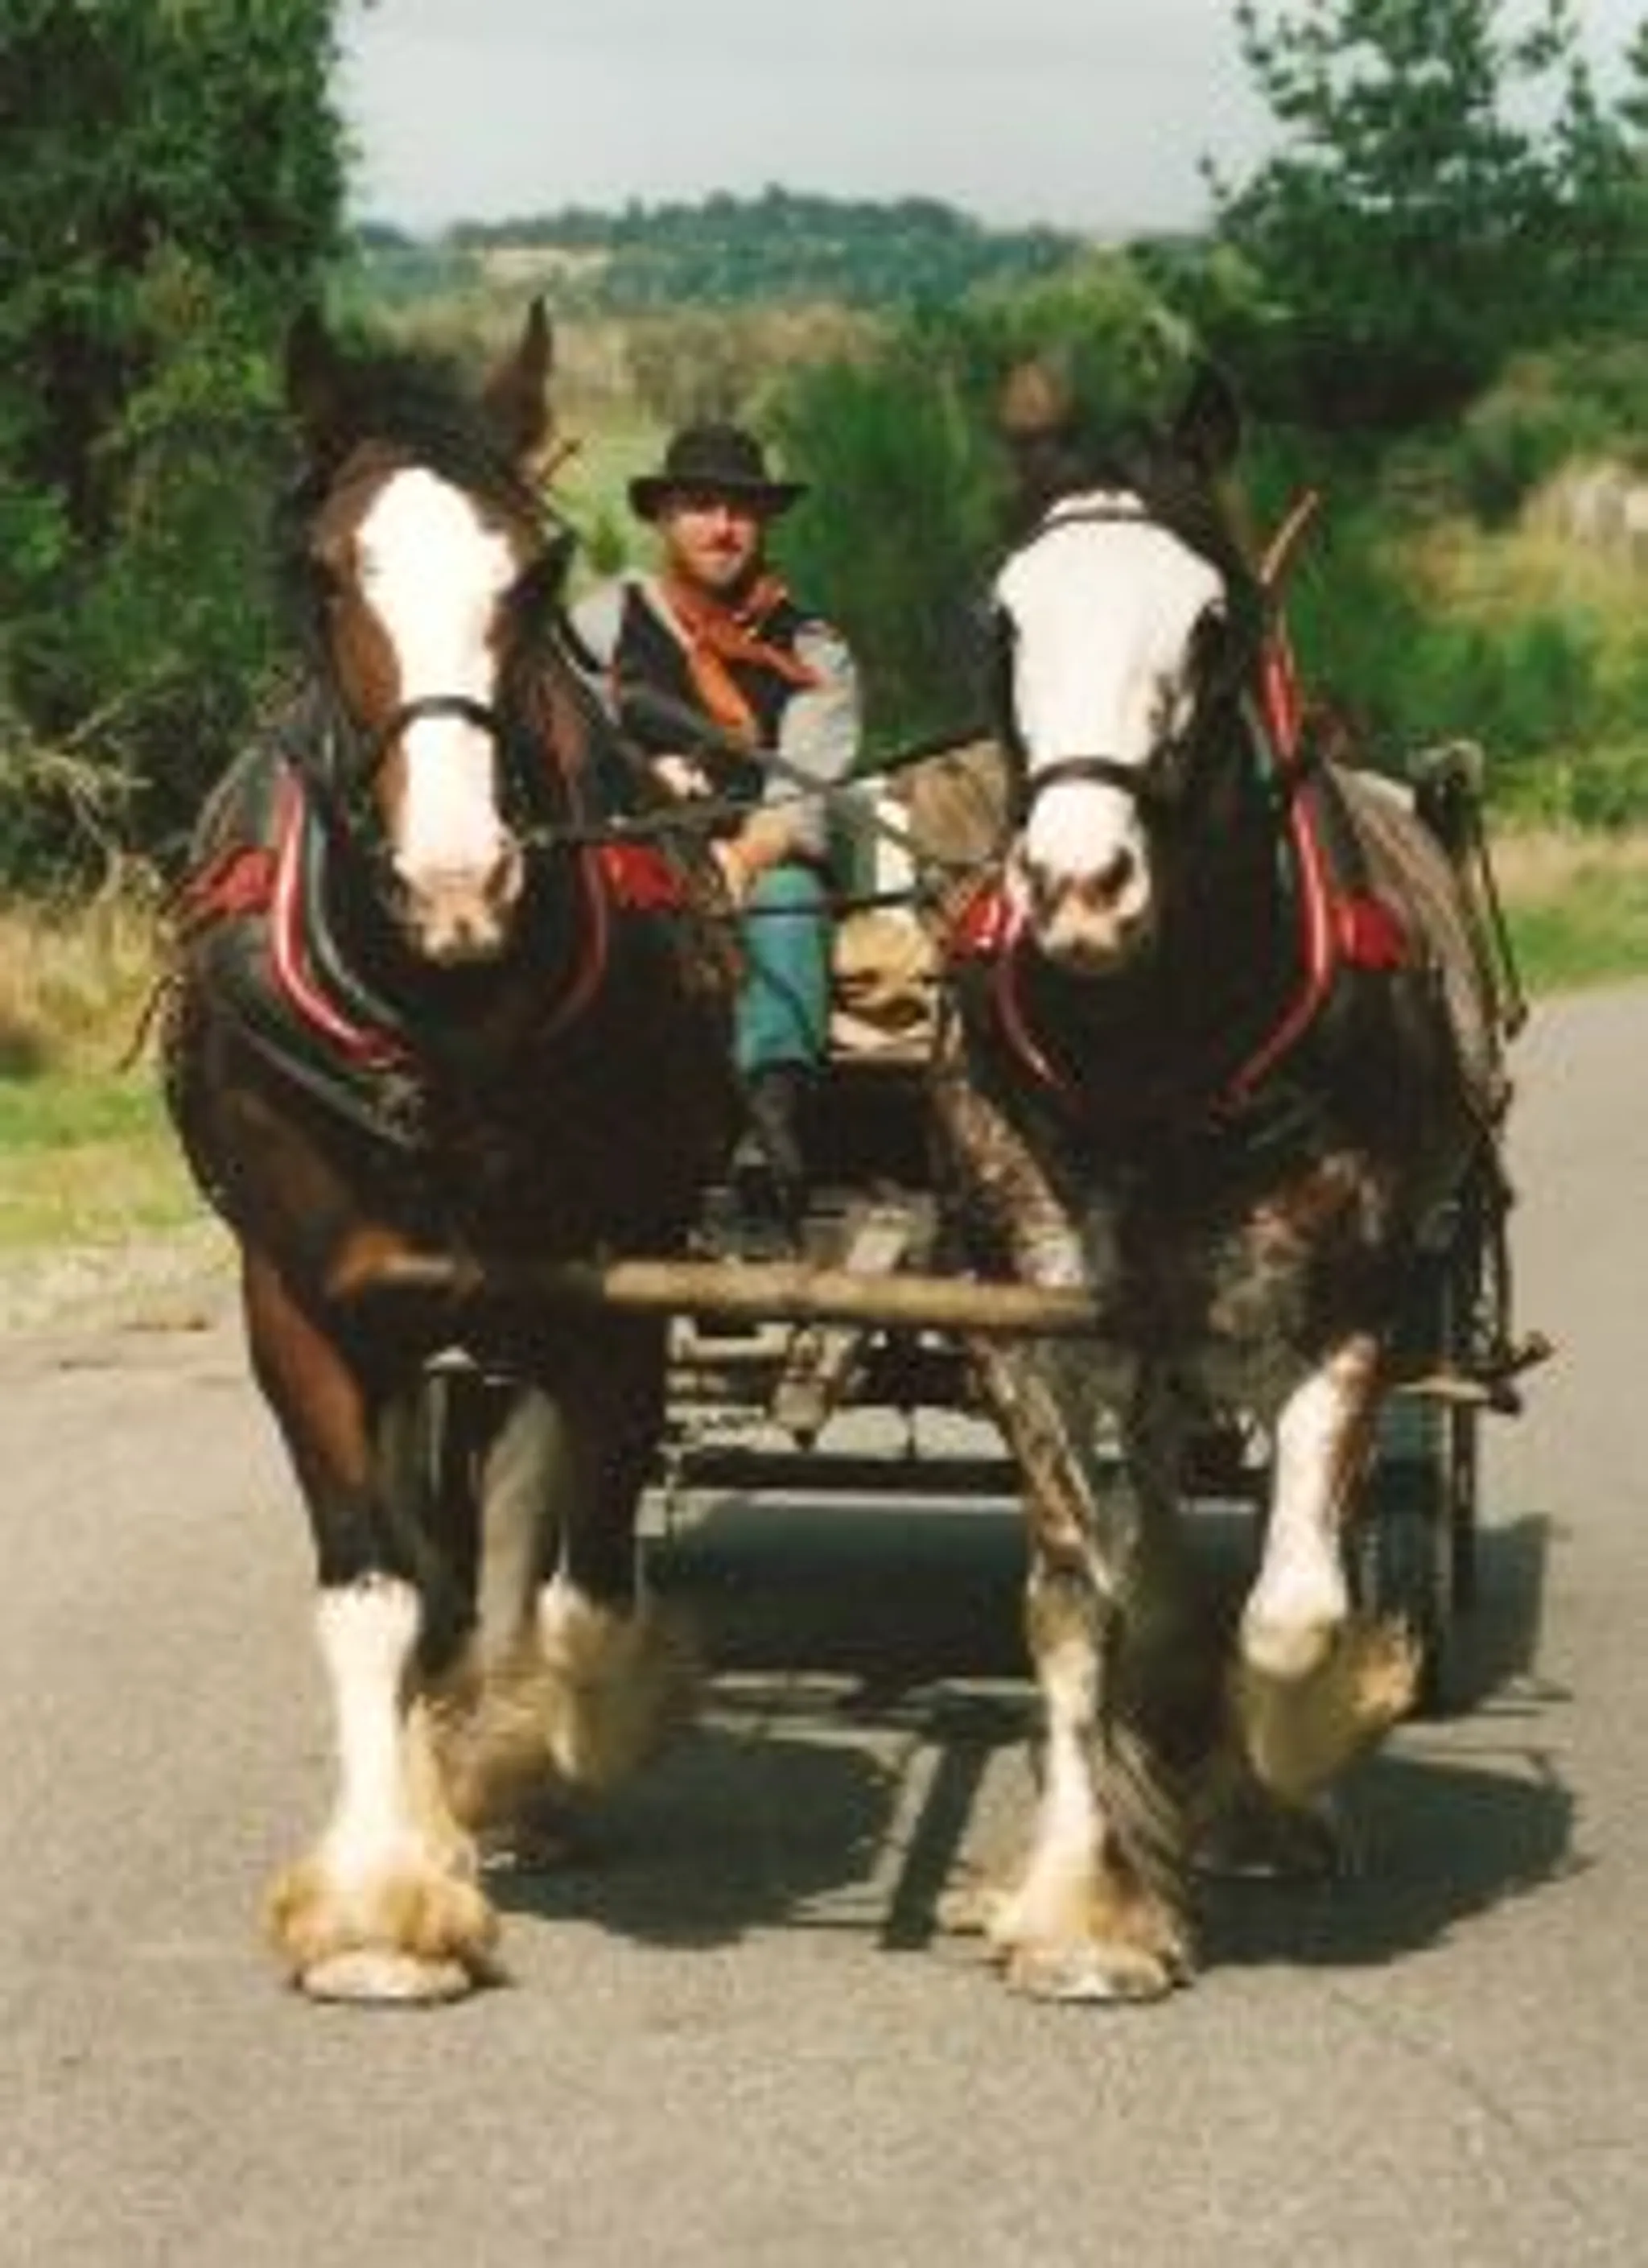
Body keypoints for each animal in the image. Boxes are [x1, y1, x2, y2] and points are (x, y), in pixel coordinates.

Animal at [163, 302, 738, 2003]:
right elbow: (371, 1592)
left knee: (513, 1527)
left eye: (535, 575)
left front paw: (534, 1764)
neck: (446, 1015)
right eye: (321, 572)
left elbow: (576, 1591)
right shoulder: (299, 1301)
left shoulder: (613, 1295)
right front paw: (378, 1895)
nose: (456, 878)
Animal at [929, 365, 1516, 2002]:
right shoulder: (1030, 1324)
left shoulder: (1352, 1317)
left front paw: (1270, 1774)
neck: (1155, 1051)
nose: (1076, 888)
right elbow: (1080, 1601)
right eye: (1001, 620)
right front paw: (1080, 1903)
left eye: (1208, 622)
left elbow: (1295, 1611)